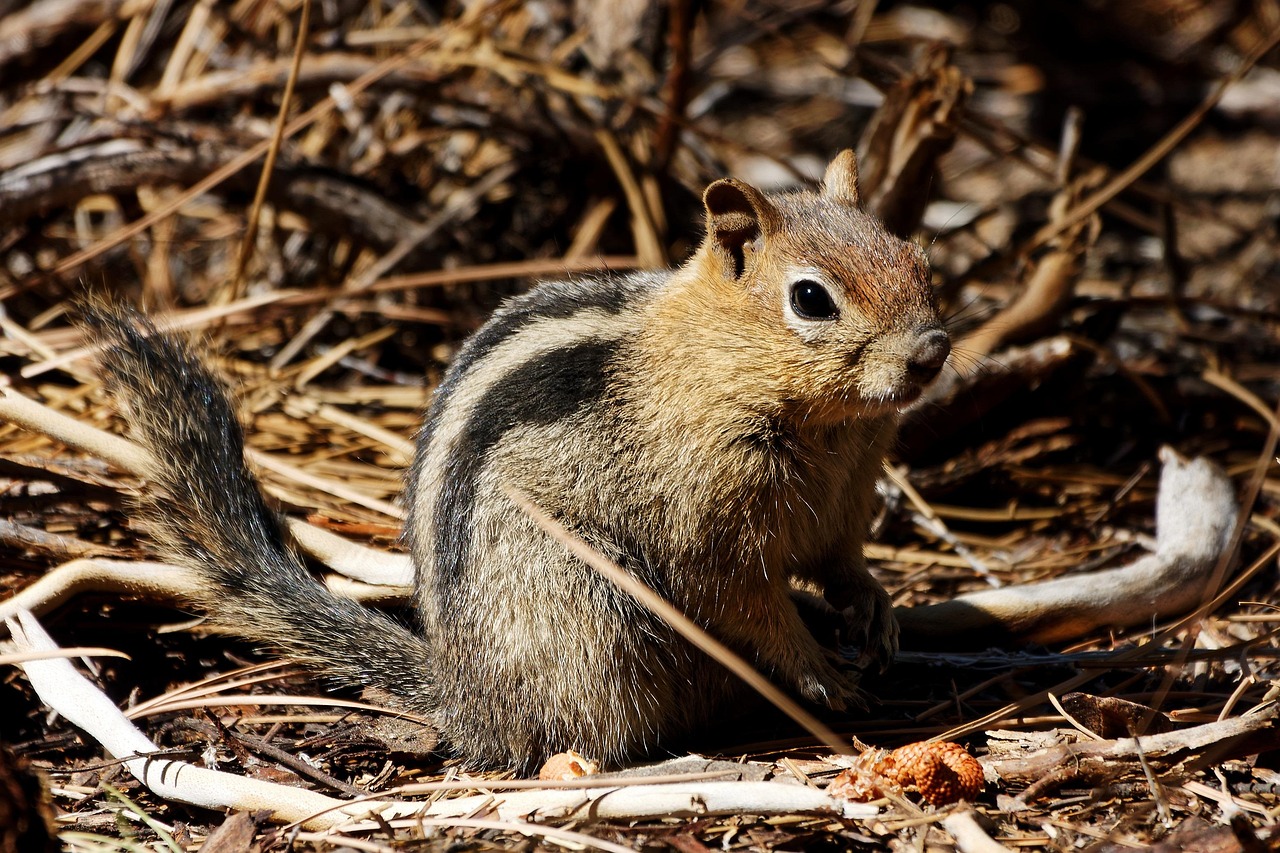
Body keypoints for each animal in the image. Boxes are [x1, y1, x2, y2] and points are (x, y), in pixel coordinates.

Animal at [80, 150, 950, 772]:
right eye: (810, 298)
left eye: (916, 258)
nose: (933, 349)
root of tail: (465, 694)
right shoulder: (710, 525)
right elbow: (747, 603)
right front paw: (820, 673)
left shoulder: (846, 496)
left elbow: (841, 560)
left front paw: (874, 611)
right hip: (587, 614)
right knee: (580, 735)